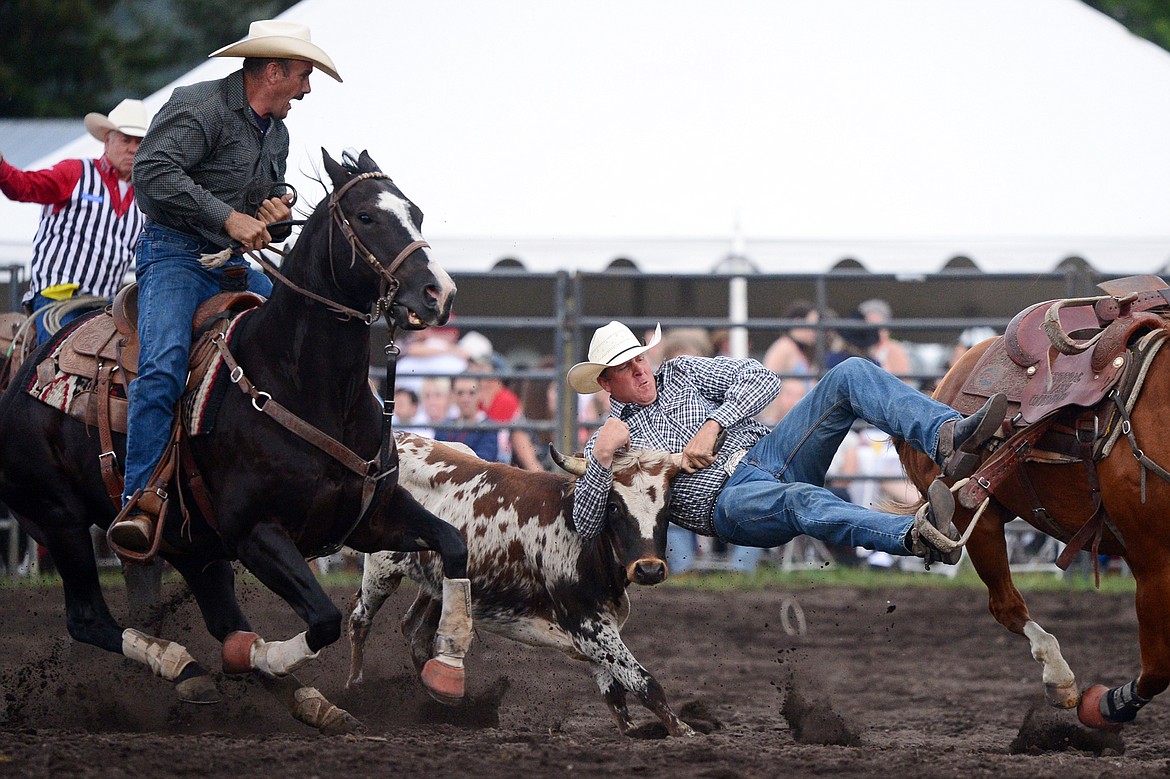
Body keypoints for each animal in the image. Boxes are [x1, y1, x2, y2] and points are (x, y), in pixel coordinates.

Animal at [1, 148, 475, 729]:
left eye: (417, 213)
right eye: (366, 217)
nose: (439, 294)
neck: (302, 383)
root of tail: (29, 368)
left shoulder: (373, 519)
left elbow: (453, 546)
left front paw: (447, 670)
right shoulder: (256, 531)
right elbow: (322, 618)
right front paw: (260, 659)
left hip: (189, 543)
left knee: (216, 615)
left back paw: (279, 694)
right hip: (58, 518)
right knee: (89, 618)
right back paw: (184, 665)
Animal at [898, 292, 1170, 734]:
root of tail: (948, 377)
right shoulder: (1152, 560)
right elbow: (1159, 665)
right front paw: (1109, 703)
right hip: (978, 522)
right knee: (1006, 605)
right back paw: (1060, 677)